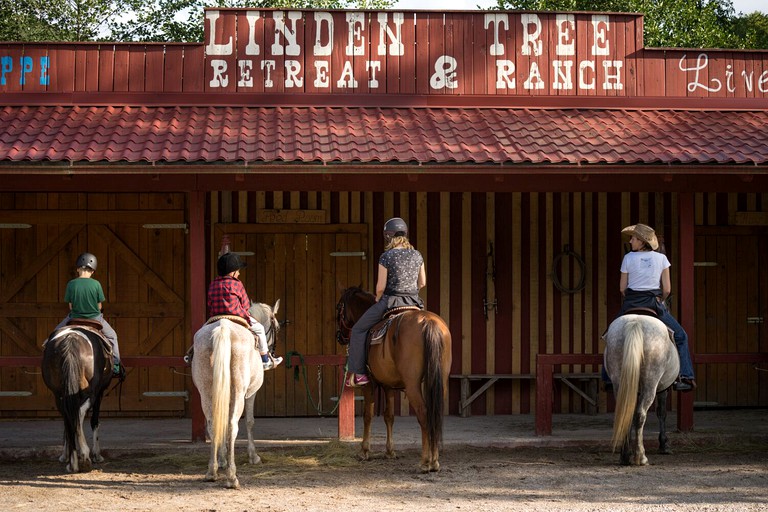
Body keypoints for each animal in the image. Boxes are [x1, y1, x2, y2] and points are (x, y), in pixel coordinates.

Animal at [41, 326, 114, 474]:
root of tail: (71, 339)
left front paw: (64, 455)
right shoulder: (100, 392)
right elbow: (94, 421)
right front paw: (97, 455)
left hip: (59, 394)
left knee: (69, 416)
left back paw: (73, 462)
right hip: (90, 392)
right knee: (78, 413)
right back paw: (84, 456)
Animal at [334, 286, 450, 470]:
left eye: (339, 308)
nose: (339, 336)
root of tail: (428, 322)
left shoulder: (370, 384)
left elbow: (368, 415)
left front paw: (364, 451)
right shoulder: (388, 385)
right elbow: (389, 416)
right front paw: (390, 451)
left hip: (412, 385)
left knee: (424, 414)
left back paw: (427, 461)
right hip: (440, 382)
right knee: (435, 414)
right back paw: (435, 460)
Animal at [608, 314, 680, 466]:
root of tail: (636, 322)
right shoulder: (663, 389)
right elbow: (662, 413)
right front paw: (664, 445)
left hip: (619, 382)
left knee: (626, 412)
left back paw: (625, 456)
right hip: (650, 382)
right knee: (640, 414)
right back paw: (641, 456)